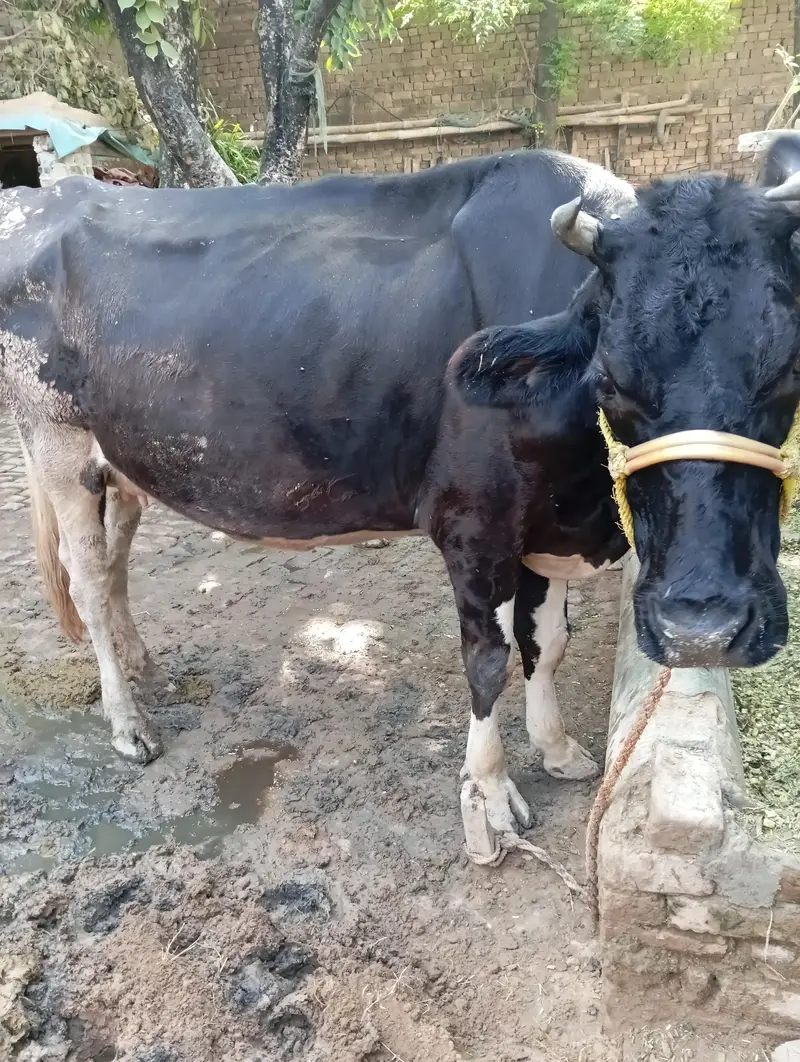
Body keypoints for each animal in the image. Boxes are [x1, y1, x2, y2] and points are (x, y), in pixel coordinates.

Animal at [1, 148, 798, 837]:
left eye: (787, 374)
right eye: (611, 381)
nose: (703, 628)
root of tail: (42, 197)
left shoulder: (541, 527)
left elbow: (548, 644)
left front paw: (557, 748)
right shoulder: (473, 524)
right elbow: (489, 658)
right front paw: (492, 791)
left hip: (123, 463)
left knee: (115, 564)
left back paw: (144, 668)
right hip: (56, 444)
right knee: (87, 579)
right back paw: (130, 726)